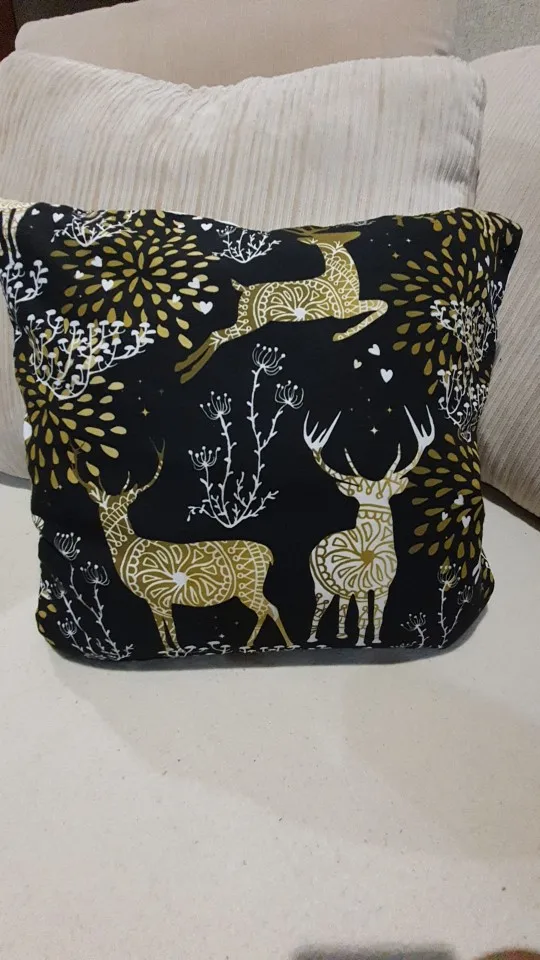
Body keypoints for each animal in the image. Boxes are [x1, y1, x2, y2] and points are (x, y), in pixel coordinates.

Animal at [70, 447, 292, 654]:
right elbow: (161, 627)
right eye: (106, 504)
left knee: (267, 609)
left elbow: (170, 625)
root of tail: (268, 554)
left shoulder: (159, 593)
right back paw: (265, 643)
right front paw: (169, 650)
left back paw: (273, 644)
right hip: (252, 587)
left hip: (249, 586)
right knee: (270, 608)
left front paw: (178, 649)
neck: (128, 548)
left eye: (122, 505)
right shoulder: (153, 600)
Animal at [176, 228, 388, 383]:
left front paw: (340, 335)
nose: (356, 233)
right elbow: (382, 305)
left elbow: (381, 305)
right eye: (332, 235)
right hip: (250, 322)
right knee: (217, 336)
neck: (340, 277)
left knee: (216, 335)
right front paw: (340, 335)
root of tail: (242, 289)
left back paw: (181, 368)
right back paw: (186, 374)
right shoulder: (345, 309)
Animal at [303, 406, 435, 646]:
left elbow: (379, 615)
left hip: (343, 588)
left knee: (342, 605)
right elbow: (364, 616)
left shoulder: (384, 587)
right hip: (321, 585)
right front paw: (360, 642)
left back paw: (341, 635)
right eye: (362, 495)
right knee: (319, 609)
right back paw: (312, 639)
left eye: (385, 493)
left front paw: (375, 641)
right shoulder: (361, 586)